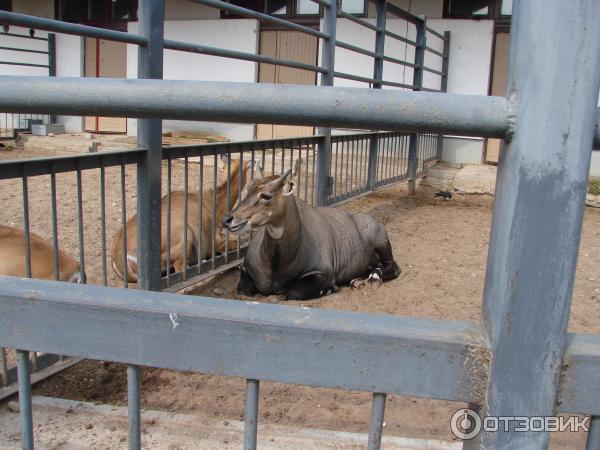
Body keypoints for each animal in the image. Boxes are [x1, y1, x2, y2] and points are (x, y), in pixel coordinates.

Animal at [223, 167, 400, 300]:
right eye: (247, 190)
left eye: (266, 195)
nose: (227, 219)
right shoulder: (246, 271)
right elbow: (243, 290)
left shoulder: (323, 273)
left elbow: (294, 292)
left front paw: (329, 289)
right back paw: (357, 280)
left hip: (382, 243)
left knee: (393, 267)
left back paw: (373, 278)